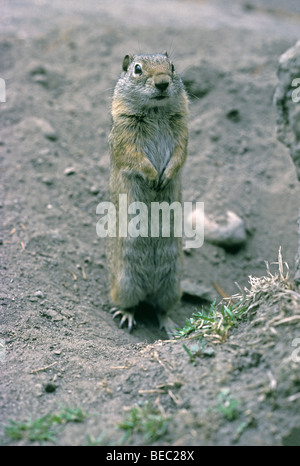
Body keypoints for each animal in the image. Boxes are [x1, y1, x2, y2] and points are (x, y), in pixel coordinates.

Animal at [106, 52, 189, 334]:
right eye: (137, 69)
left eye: (172, 66)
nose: (162, 82)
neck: (155, 111)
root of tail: (149, 289)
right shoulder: (127, 136)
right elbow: (136, 158)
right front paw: (154, 179)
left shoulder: (182, 131)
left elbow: (179, 155)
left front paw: (165, 178)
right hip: (125, 282)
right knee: (129, 303)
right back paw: (126, 316)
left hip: (172, 286)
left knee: (161, 309)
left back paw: (171, 326)